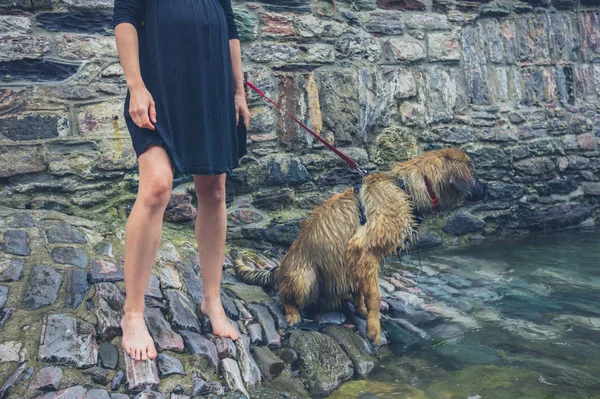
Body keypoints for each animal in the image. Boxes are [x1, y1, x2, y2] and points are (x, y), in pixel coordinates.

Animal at [232, 148, 486, 346]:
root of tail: (279, 269)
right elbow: (374, 293)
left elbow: (361, 290)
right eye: (474, 173)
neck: (405, 188)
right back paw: (293, 313)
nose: (488, 190)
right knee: (284, 296)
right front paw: (374, 329)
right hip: (306, 277)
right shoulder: (362, 247)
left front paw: (362, 311)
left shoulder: (359, 259)